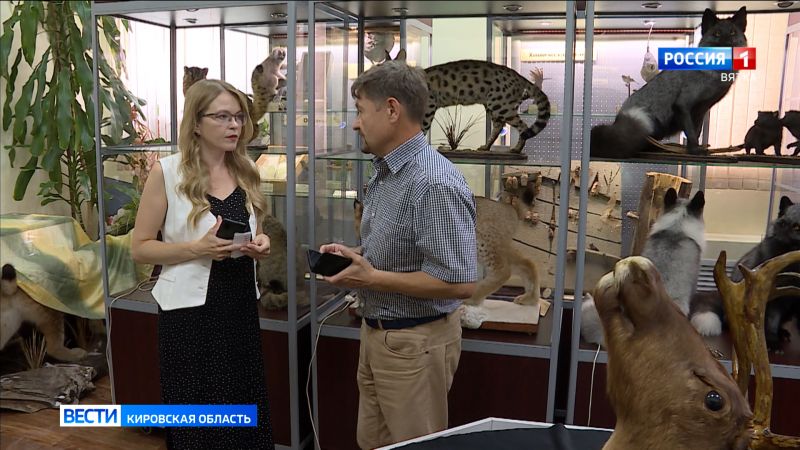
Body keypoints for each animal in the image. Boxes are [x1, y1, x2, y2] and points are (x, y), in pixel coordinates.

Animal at [353, 173, 544, 307]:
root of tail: (508, 207)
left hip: (485, 245)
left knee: (504, 271)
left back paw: (473, 298)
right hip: (495, 247)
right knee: (528, 263)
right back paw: (531, 299)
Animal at [390, 50, 551, 154]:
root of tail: (518, 75)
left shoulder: (429, 106)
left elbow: (421, 129)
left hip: (501, 106)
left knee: (523, 127)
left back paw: (517, 149)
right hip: (493, 106)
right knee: (499, 126)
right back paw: (486, 147)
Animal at [591, 7, 747, 158]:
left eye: (733, 32)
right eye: (717, 34)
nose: (727, 44)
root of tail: (618, 120)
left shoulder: (702, 110)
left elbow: (696, 132)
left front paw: (693, 149)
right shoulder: (683, 105)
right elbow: (691, 132)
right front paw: (695, 150)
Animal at [690, 196, 800, 351]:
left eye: (797, 227)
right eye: (784, 223)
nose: (780, 236)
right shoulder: (775, 298)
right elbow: (771, 321)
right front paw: (773, 343)